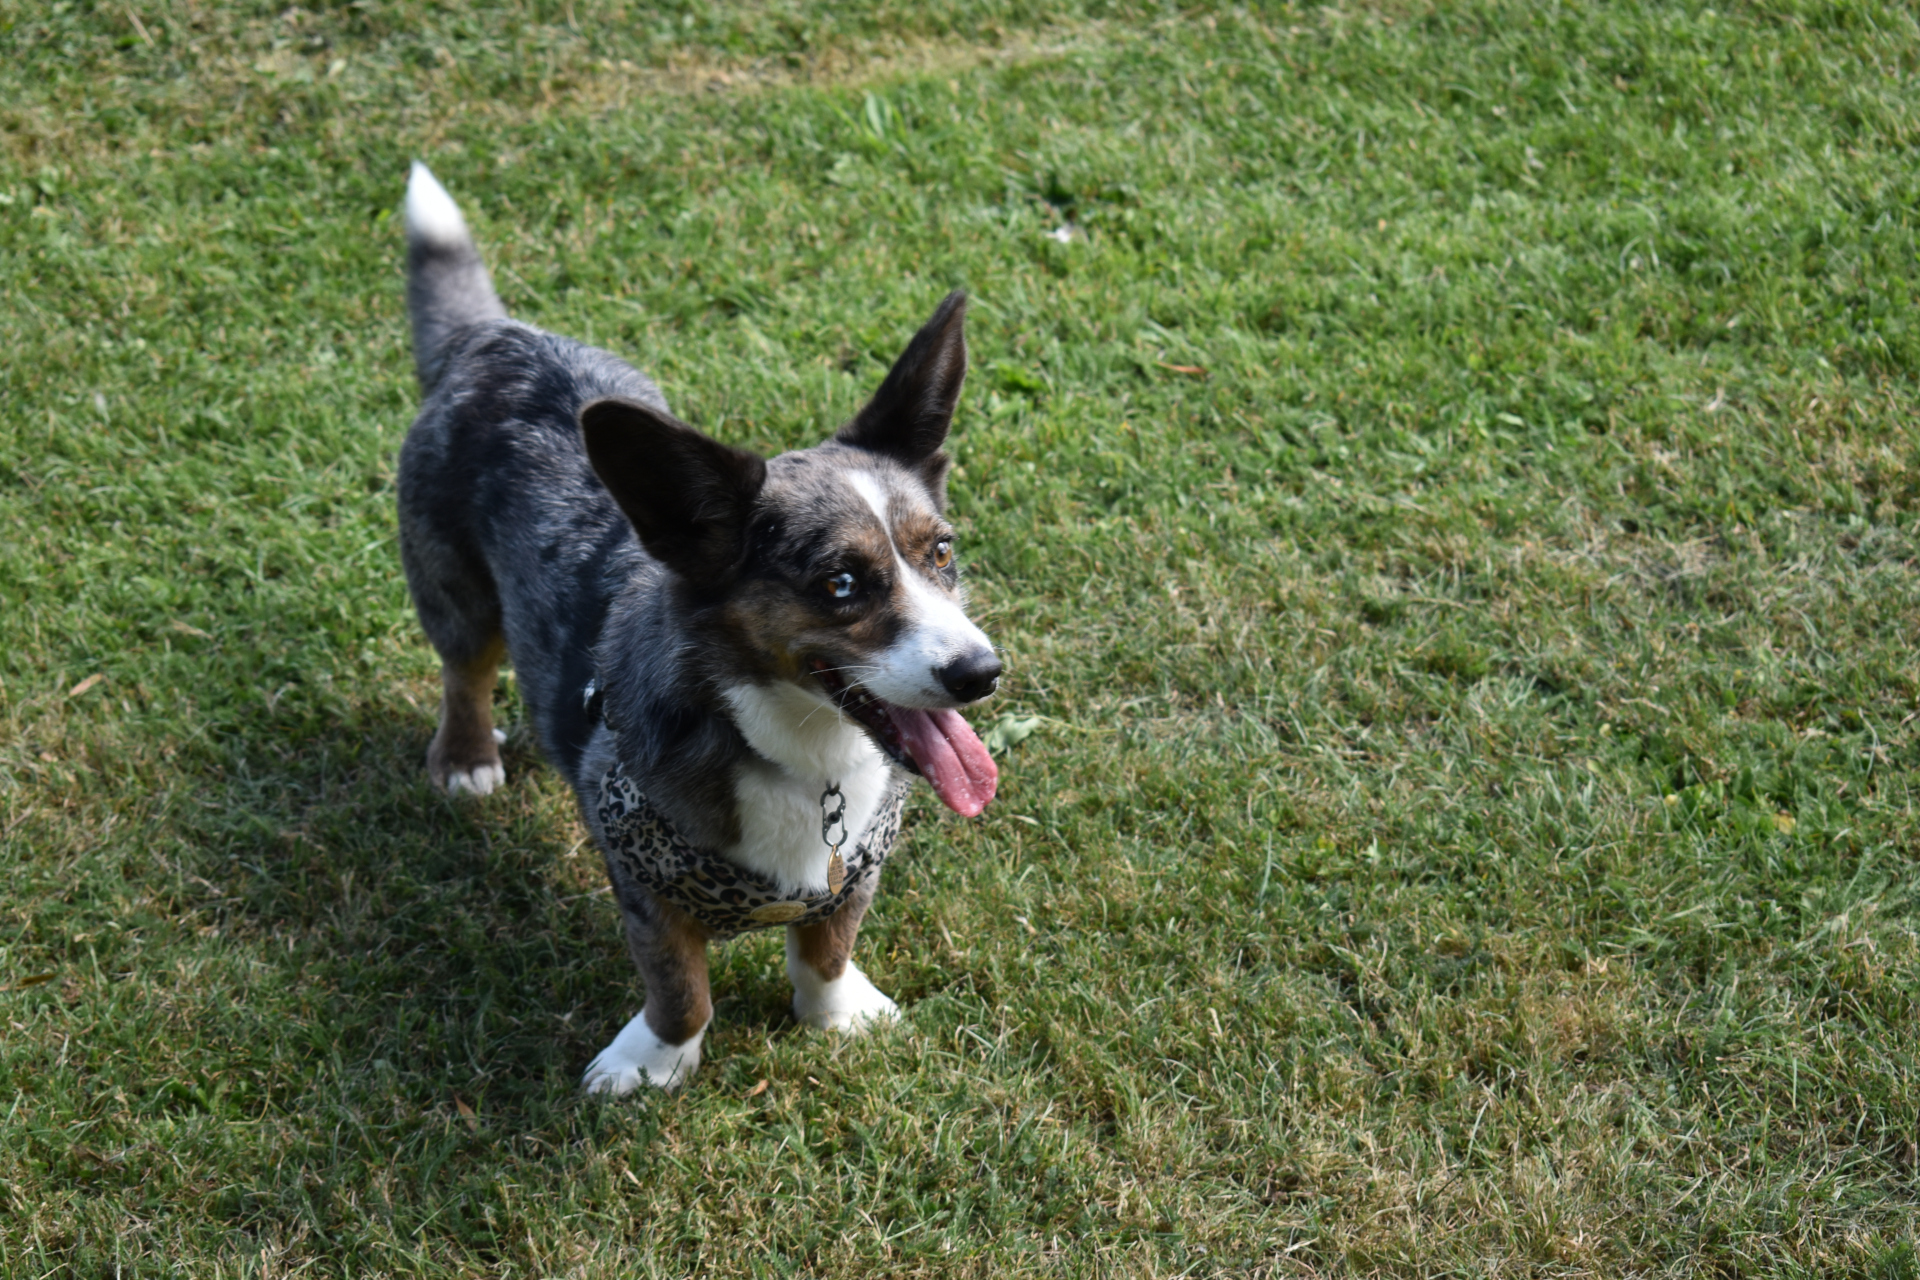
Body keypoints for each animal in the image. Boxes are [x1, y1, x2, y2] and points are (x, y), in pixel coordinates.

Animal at [391, 165, 1006, 1097]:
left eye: (941, 553)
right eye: (840, 586)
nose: (982, 673)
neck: (806, 757)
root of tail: (494, 337)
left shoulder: (855, 872)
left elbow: (827, 945)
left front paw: (837, 1016)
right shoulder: (642, 881)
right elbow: (680, 986)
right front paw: (650, 1064)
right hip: (454, 589)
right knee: (465, 668)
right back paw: (466, 760)